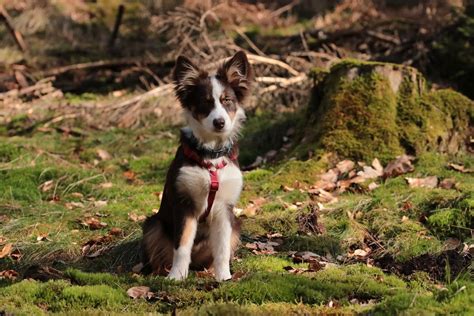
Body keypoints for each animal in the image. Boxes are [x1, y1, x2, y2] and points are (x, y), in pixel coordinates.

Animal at [141, 51, 252, 282]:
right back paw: (164, 271)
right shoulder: (185, 203)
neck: (211, 155)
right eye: (205, 102)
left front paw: (224, 276)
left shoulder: (225, 209)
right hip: (153, 225)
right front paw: (176, 276)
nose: (220, 123)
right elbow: (182, 244)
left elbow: (222, 248)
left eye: (227, 100)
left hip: (237, 225)